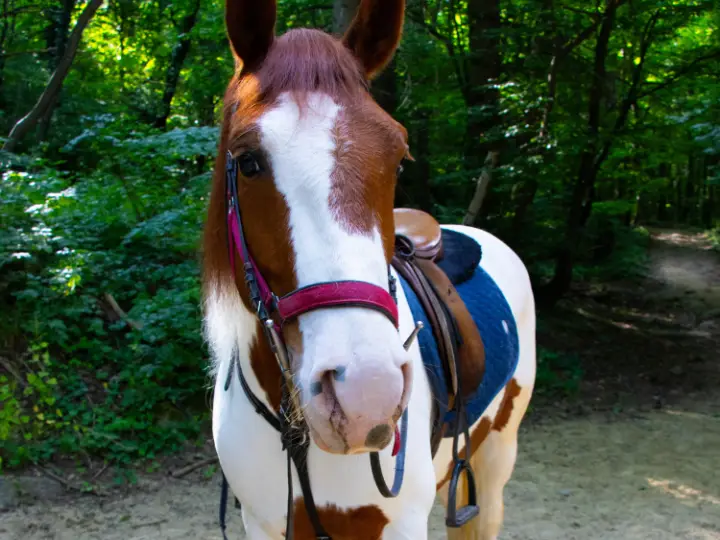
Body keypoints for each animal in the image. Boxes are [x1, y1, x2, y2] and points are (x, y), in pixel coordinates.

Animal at [202, 1, 537, 539]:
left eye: (398, 158)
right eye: (248, 161)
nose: (366, 393)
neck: (298, 436)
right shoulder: (263, 522)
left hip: (496, 454)